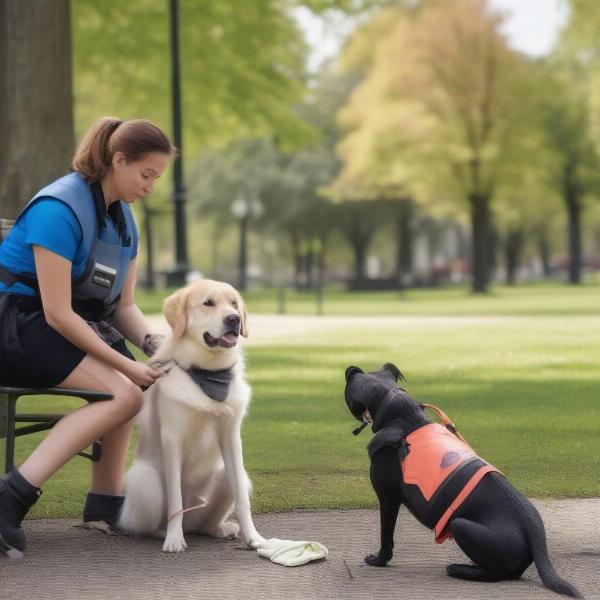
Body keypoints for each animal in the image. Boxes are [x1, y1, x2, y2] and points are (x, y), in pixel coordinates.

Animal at [117, 282, 264, 552]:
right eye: (208, 303)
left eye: (234, 304)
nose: (234, 319)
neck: (207, 373)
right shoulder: (172, 439)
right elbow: (176, 499)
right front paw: (174, 540)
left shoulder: (231, 439)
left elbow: (242, 499)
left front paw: (253, 538)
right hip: (146, 481)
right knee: (148, 527)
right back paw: (165, 532)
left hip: (224, 474)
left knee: (204, 524)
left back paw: (219, 529)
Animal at [344, 364, 584, 596]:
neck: (400, 414)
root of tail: (535, 531)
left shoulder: (388, 498)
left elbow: (386, 536)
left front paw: (378, 560)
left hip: (460, 525)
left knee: (500, 574)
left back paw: (460, 569)